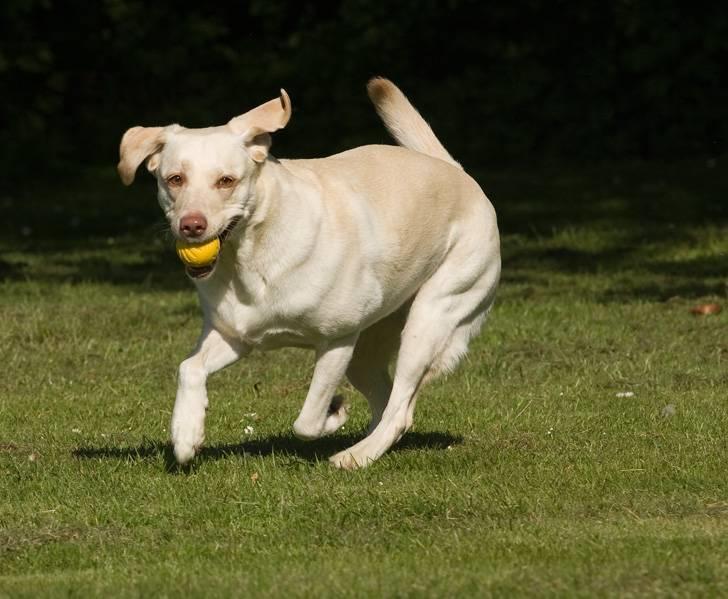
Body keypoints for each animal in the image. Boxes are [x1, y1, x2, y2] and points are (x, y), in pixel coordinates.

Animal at [116, 77, 500, 468]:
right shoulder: (236, 335)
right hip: (366, 351)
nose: (191, 226)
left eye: (226, 181)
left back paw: (355, 456)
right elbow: (188, 368)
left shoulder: (337, 341)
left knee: (399, 410)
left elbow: (307, 421)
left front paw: (334, 413)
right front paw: (186, 434)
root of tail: (456, 171)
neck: (251, 258)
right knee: (389, 402)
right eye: (175, 179)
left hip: (428, 321)